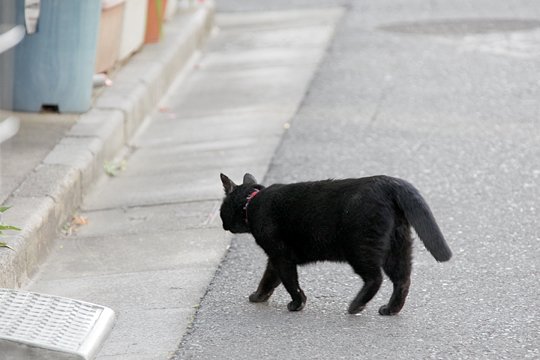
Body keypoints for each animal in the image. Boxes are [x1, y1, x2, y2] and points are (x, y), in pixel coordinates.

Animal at [219, 173, 452, 314]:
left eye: (221, 210)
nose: (222, 224)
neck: (251, 202)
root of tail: (386, 182)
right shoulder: (275, 259)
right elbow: (269, 279)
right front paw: (259, 296)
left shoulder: (280, 255)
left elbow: (290, 282)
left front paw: (297, 303)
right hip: (398, 247)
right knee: (402, 280)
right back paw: (390, 309)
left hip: (360, 248)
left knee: (375, 278)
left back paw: (356, 305)